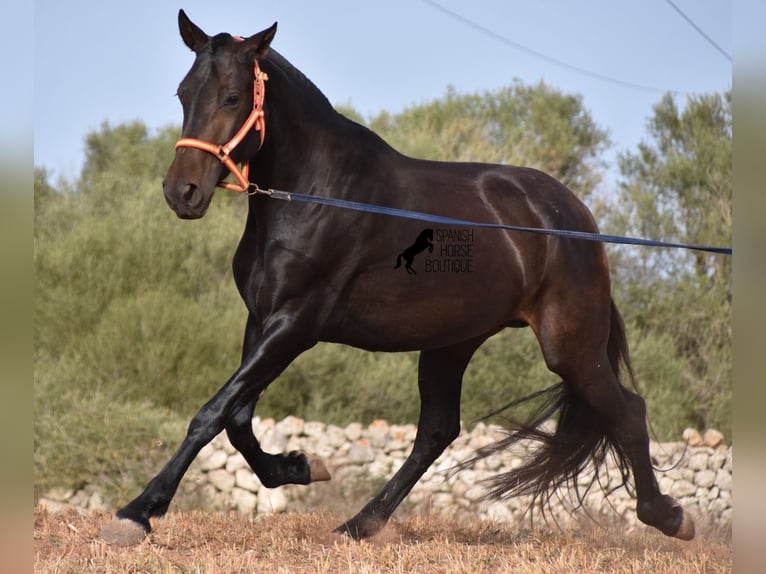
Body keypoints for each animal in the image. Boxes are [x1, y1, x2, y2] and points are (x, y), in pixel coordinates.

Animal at [100, 11, 696, 548]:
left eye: (231, 97)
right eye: (183, 93)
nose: (182, 193)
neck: (315, 193)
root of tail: (575, 217)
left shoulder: (295, 325)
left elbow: (212, 414)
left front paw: (137, 513)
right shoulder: (262, 320)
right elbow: (239, 418)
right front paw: (302, 466)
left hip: (570, 345)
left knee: (628, 411)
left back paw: (669, 516)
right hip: (452, 342)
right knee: (437, 431)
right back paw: (360, 523)